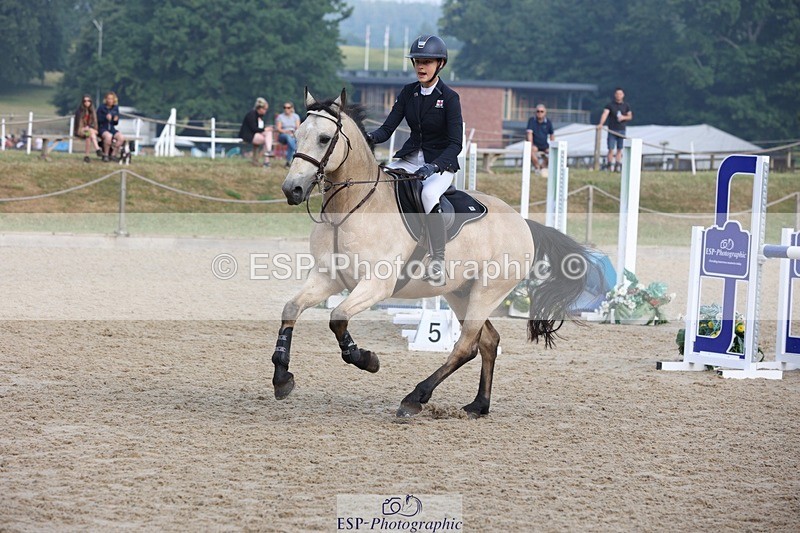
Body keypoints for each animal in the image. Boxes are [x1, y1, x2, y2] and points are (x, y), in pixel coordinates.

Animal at [273, 88, 593, 417]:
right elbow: (291, 309)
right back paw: (478, 405)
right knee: (488, 341)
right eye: (297, 135)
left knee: (466, 346)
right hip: (460, 292)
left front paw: (366, 359)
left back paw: (415, 397)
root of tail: (523, 223)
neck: (351, 207)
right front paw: (282, 377)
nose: (292, 190)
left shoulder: (376, 285)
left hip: (487, 292)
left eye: (325, 138)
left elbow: (337, 317)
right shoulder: (328, 278)